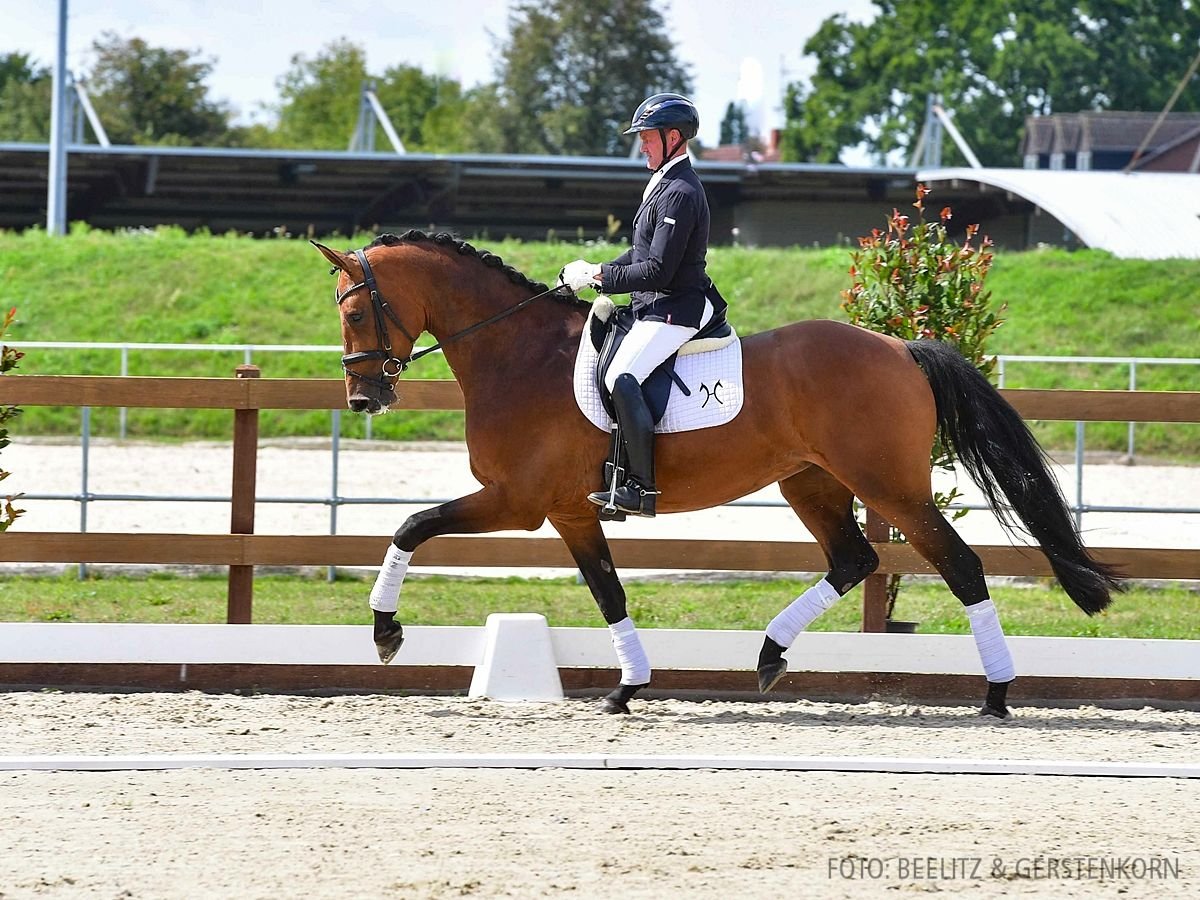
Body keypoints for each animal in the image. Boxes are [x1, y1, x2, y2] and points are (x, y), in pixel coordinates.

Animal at [314, 230, 1118, 720]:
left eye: (354, 314)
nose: (363, 398)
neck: (517, 354)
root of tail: (899, 347)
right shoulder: (570, 511)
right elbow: (608, 592)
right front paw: (628, 688)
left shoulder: (516, 501)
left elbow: (412, 525)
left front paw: (385, 632)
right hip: (811, 481)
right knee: (853, 560)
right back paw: (768, 654)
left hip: (892, 488)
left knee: (959, 565)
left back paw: (997, 692)